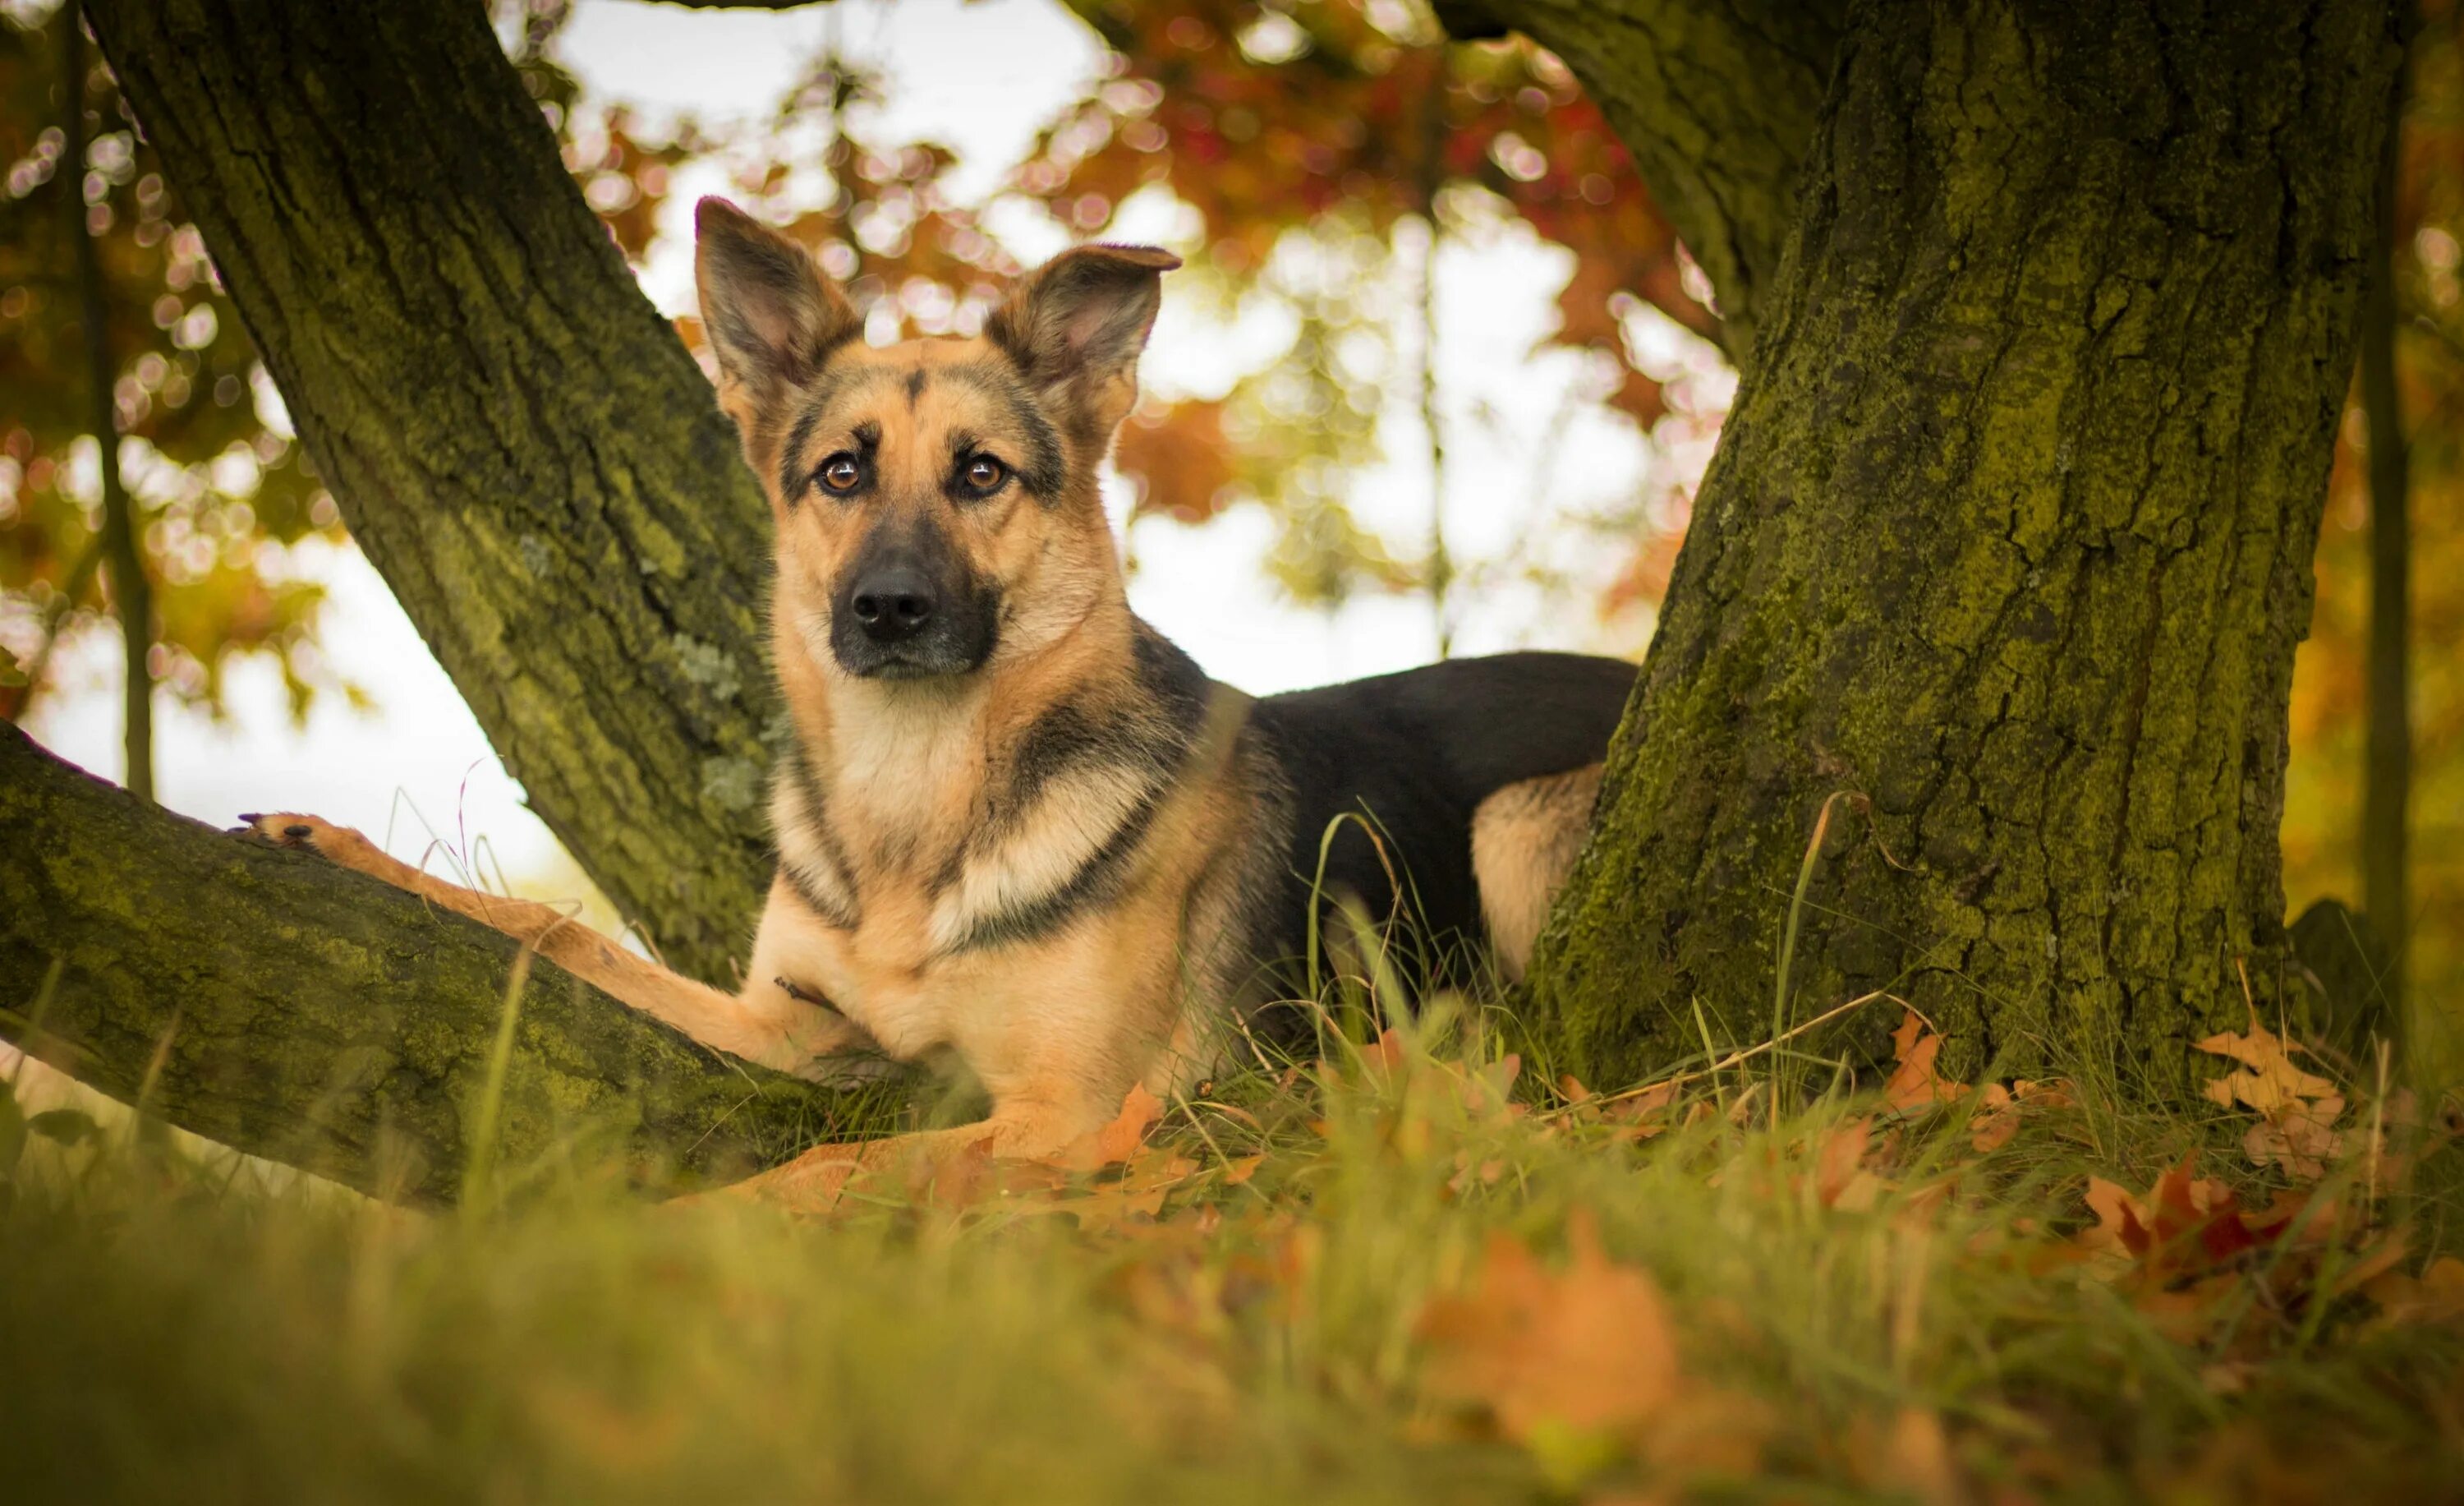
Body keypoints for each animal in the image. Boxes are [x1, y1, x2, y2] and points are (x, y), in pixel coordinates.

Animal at [255, 200, 1636, 1208]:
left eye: (981, 475)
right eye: (840, 473)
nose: (890, 609)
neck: (916, 805)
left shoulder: (1068, 1113)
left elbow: (836, 1158)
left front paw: (693, 1227)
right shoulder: (785, 1025)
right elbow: (560, 934)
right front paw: (340, 849)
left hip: (1515, 830)